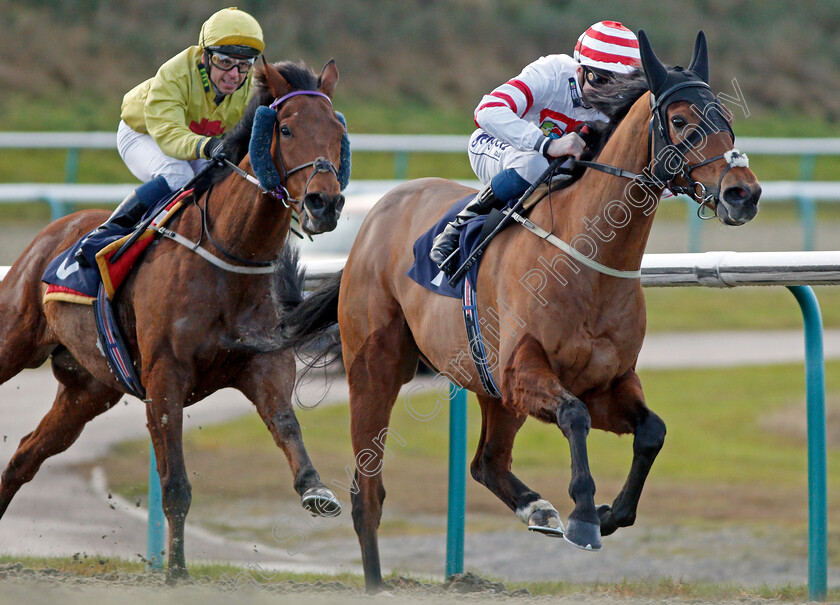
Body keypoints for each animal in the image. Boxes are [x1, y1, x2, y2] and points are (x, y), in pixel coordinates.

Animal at [0, 59, 346, 580]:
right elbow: (176, 484)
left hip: (88, 390)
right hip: (14, 338)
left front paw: (315, 489)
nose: (325, 203)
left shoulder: (264, 364)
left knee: (26, 454)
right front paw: (176, 571)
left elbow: (287, 425)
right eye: (285, 129)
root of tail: (54, 229)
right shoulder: (165, 377)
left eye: (338, 133)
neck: (229, 256)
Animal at [282, 29, 760, 588]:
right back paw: (378, 580)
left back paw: (537, 508)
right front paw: (584, 518)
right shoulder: (525, 371)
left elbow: (652, 432)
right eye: (681, 121)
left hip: (489, 384)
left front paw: (608, 514)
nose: (743, 193)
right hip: (377, 367)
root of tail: (378, 212)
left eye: (725, 117)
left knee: (486, 463)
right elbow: (574, 417)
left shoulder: (606, 382)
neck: (588, 260)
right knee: (368, 491)